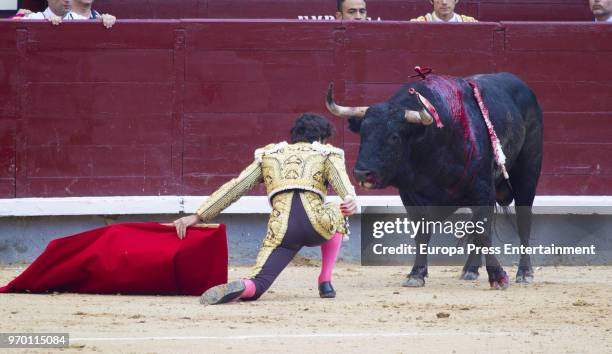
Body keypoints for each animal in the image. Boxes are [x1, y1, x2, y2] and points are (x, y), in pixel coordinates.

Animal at [328, 72, 544, 290]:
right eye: (363, 134)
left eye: (394, 137)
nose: (362, 173)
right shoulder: (411, 197)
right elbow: (423, 234)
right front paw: (416, 274)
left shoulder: (483, 191)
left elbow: (483, 232)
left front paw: (499, 277)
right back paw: (470, 269)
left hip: (528, 174)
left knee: (523, 221)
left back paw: (525, 272)